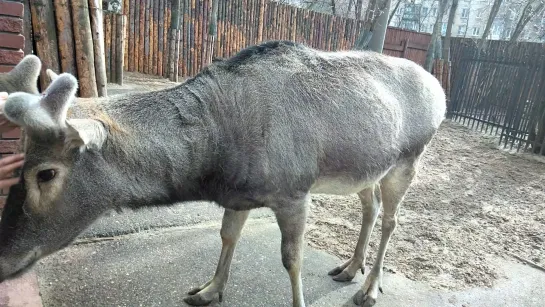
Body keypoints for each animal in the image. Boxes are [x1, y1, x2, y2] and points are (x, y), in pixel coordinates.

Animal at [0, 41, 444, 307]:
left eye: (46, 174)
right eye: (20, 163)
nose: (4, 259)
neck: (219, 159)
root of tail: (439, 90)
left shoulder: (293, 192)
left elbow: (292, 259)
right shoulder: (240, 194)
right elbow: (227, 236)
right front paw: (208, 290)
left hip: (409, 159)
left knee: (392, 220)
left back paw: (369, 288)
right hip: (367, 170)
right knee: (371, 208)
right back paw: (350, 269)